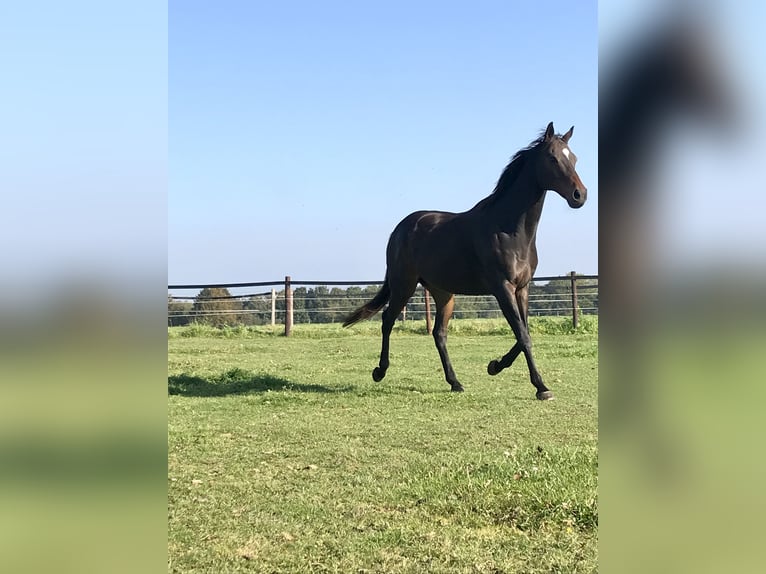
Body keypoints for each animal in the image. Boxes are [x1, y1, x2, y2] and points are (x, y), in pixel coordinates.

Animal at [344, 121, 592, 400]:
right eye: (552, 157)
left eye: (574, 158)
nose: (579, 195)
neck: (509, 230)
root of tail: (400, 228)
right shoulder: (502, 288)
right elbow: (523, 335)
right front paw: (541, 387)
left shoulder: (522, 288)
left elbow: (524, 333)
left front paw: (495, 366)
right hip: (403, 284)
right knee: (387, 320)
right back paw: (380, 371)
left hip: (443, 293)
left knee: (439, 334)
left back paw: (455, 382)